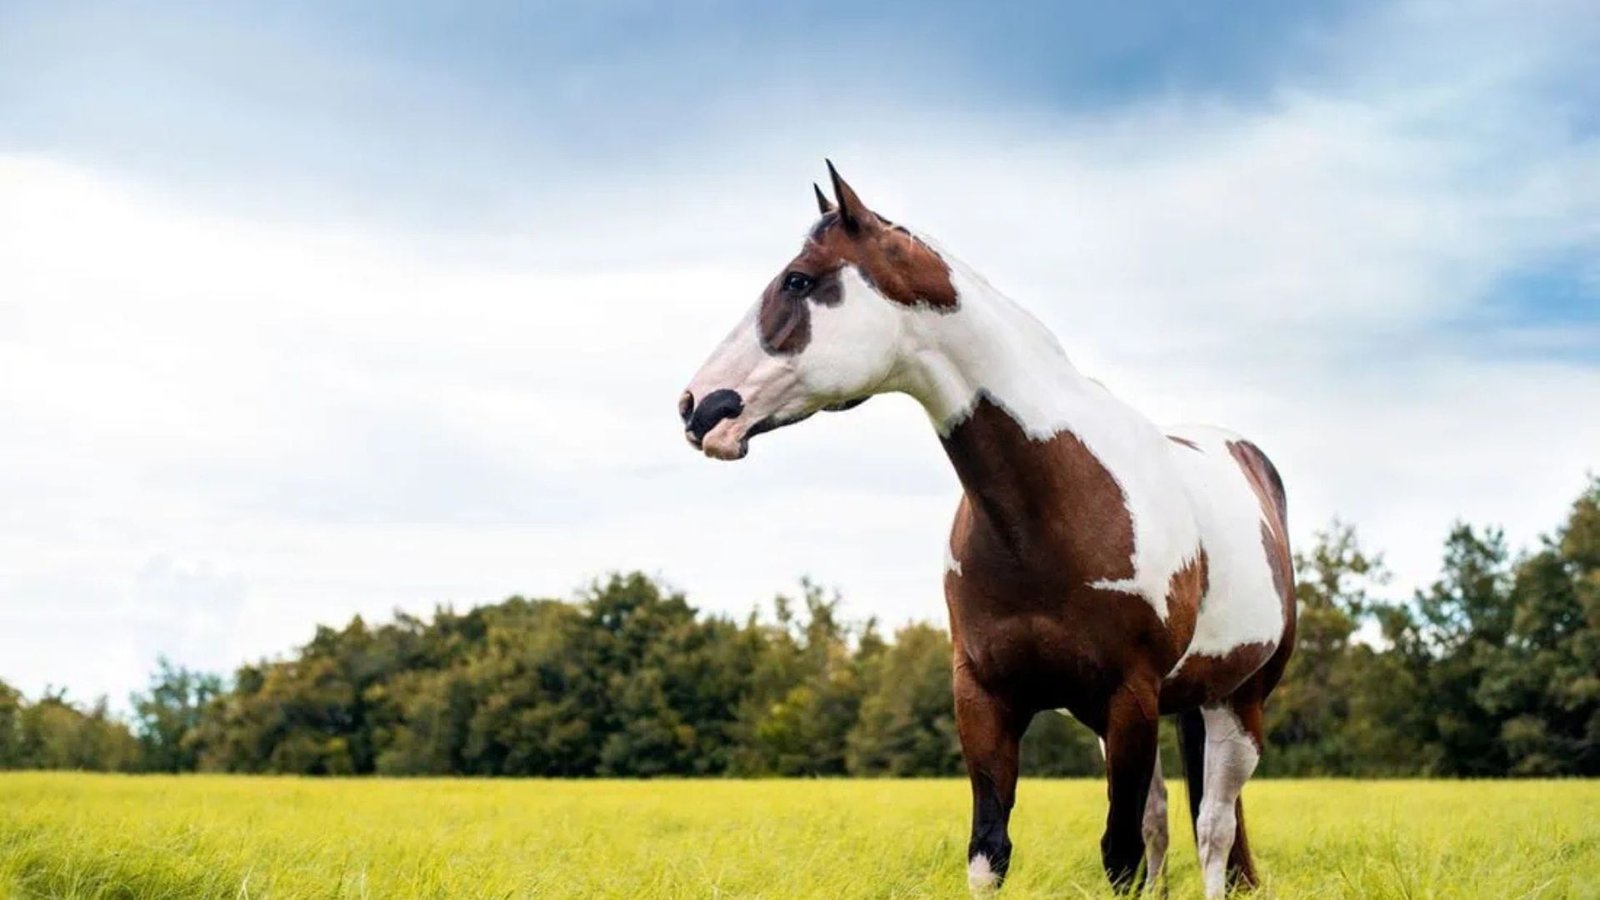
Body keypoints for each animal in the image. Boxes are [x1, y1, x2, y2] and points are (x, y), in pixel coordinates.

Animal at [681, 162, 1292, 896]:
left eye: (799, 280)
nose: (699, 408)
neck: (1050, 511)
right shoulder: (986, 698)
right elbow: (990, 852)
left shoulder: (1129, 698)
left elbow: (1117, 855)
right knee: (1165, 821)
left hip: (1235, 705)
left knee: (1213, 831)